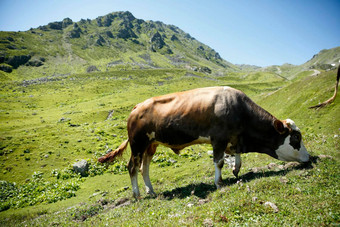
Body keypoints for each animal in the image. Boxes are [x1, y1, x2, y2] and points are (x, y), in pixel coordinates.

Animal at [97, 86, 308, 198]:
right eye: (296, 137)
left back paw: (151, 191)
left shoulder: (233, 138)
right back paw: (138, 194)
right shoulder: (219, 138)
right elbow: (219, 162)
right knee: (132, 167)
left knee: (144, 167)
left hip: (151, 145)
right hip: (138, 143)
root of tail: (137, 106)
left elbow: (236, 155)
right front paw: (219, 183)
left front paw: (236, 169)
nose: (308, 158)